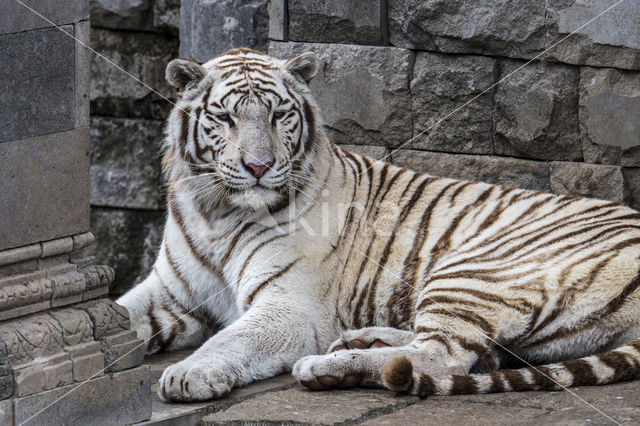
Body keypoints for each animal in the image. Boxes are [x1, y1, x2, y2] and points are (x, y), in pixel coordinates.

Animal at [117, 48, 640, 402]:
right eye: (224, 118)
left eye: (279, 115)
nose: (259, 167)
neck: (218, 212)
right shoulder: (169, 292)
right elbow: (120, 315)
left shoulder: (290, 307)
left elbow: (232, 336)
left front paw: (190, 374)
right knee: (476, 352)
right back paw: (359, 340)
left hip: (474, 270)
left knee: (441, 356)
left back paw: (331, 366)